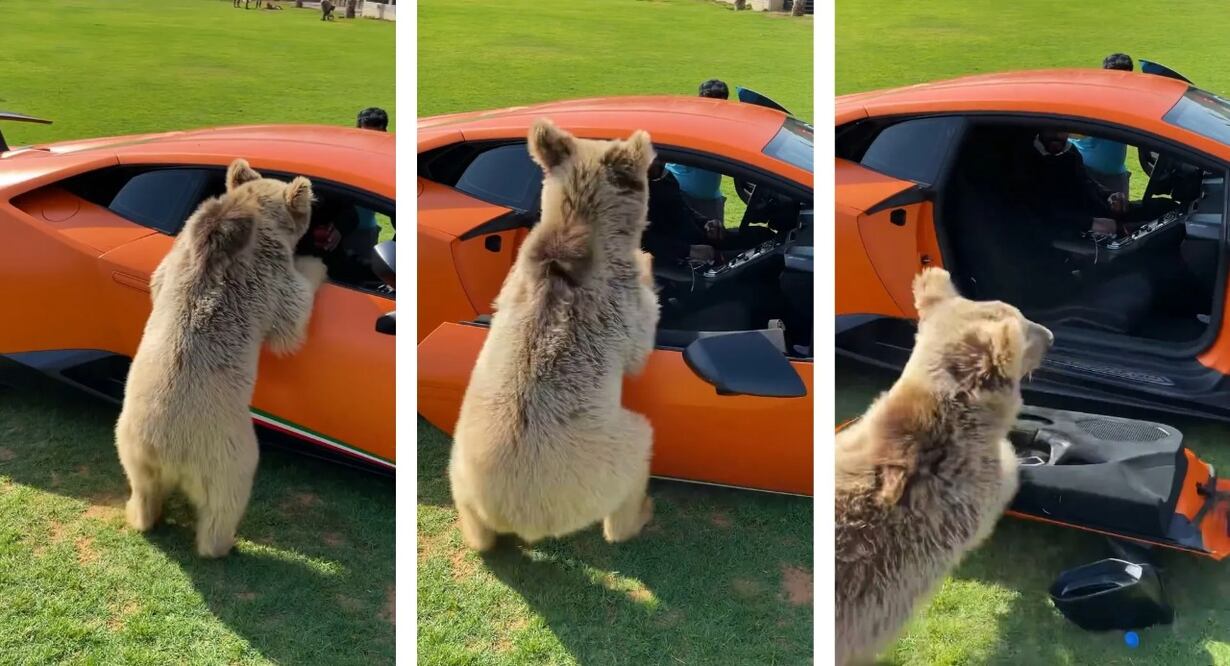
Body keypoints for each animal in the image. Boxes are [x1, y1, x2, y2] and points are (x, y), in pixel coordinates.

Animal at [114, 158, 328, 558]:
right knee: (226, 499)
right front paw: (316, 264)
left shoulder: (181, 249)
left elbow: (158, 279)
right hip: (224, 448)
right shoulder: (267, 271)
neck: (247, 211)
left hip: (130, 445)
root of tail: (167, 451)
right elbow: (290, 318)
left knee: (142, 487)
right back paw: (221, 544)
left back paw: (140, 514)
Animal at [448, 118, 661, 552]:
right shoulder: (620, 301)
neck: (577, 224)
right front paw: (648, 260)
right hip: (605, 461)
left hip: (459, 473)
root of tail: (516, 517)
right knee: (636, 458)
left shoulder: (513, 278)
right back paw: (640, 513)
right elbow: (640, 345)